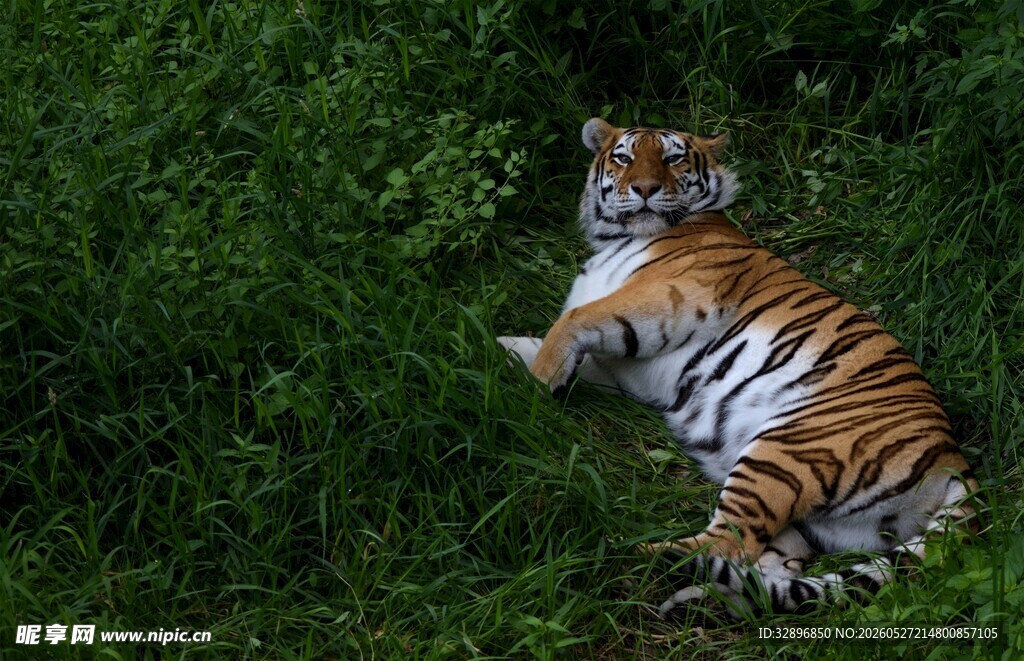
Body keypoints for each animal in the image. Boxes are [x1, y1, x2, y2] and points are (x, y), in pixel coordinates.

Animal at [497, 117, 979, 616]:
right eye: (624, 158)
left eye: (673, 158)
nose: (646, 189)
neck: (617, 238)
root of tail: (952, 459)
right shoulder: (620, 368)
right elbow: (549, 342)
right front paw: (504, 355)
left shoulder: (671, 297)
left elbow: (572, 320)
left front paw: (533, 389)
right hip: (810, 523)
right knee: (768, 567)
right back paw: (694, 600)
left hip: (786, 449)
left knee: (729, 543)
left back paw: (634, 553)